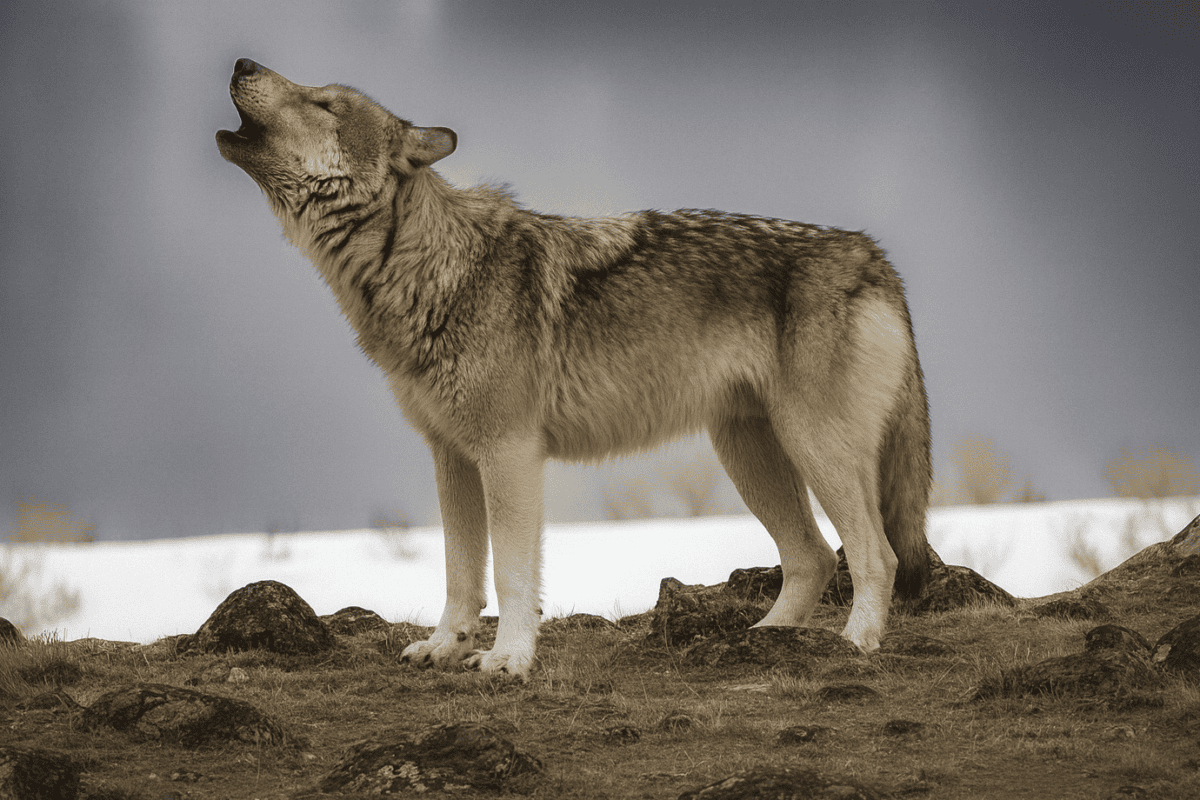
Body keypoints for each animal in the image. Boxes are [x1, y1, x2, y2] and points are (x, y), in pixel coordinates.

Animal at [217, 59, 932, 677]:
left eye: (324, 104)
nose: (242, 62)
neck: (424, 268)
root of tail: (874, 256)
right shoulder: (451, 455)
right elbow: (459, 571)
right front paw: (446, 647)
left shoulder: (509, 453)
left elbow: (510, 573)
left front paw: (508, 660)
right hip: (747, 452)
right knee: (812, 557)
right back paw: (764, 642)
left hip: (812, 447)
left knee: (876, 556)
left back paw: (852, 645)